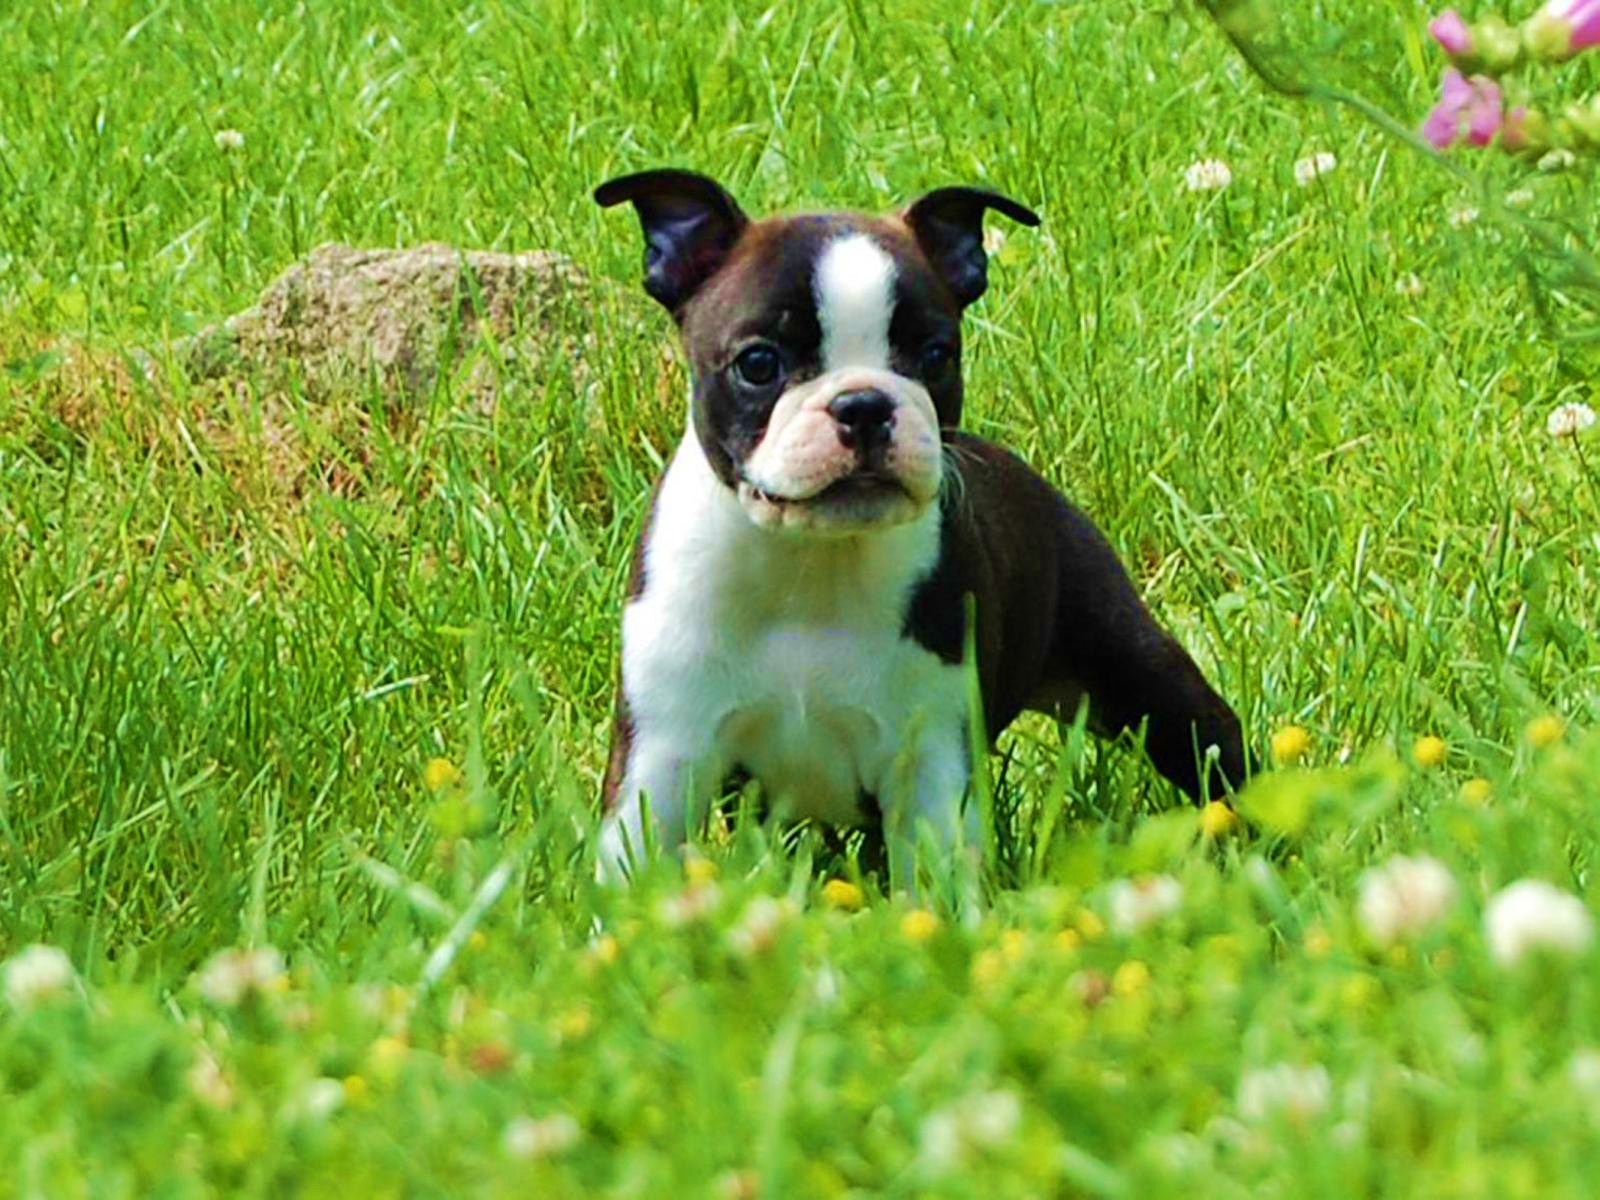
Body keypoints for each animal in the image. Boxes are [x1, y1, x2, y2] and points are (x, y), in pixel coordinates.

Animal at [593, 169, 1247, 884]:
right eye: (758, 364)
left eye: (936, 355)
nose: (864, 404)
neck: (813, 562)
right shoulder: (664, 753)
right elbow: (632, 862)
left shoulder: (928, 760)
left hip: (1135, 669)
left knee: (1214, 743)